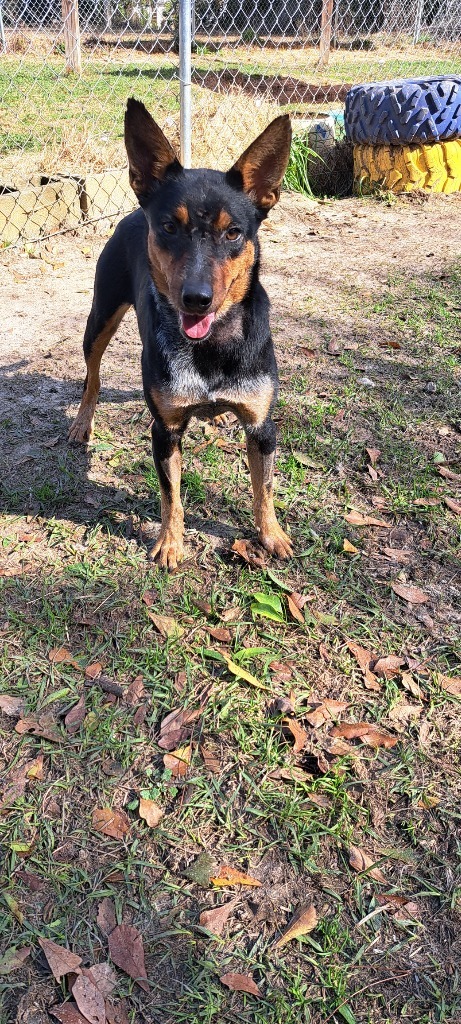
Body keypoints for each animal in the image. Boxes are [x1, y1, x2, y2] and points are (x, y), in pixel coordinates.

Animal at [68, 97, 290, 569]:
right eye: (169, 227)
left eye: (234, 232)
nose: (196, 299)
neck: (211, 347)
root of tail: (133, 209)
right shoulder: (164, 430)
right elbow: (172, 494)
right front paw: (170, 544)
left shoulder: (262, 427)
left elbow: (263, 487)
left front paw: (272, 534)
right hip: (100, 318)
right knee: (92, 377)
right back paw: (82, 421)